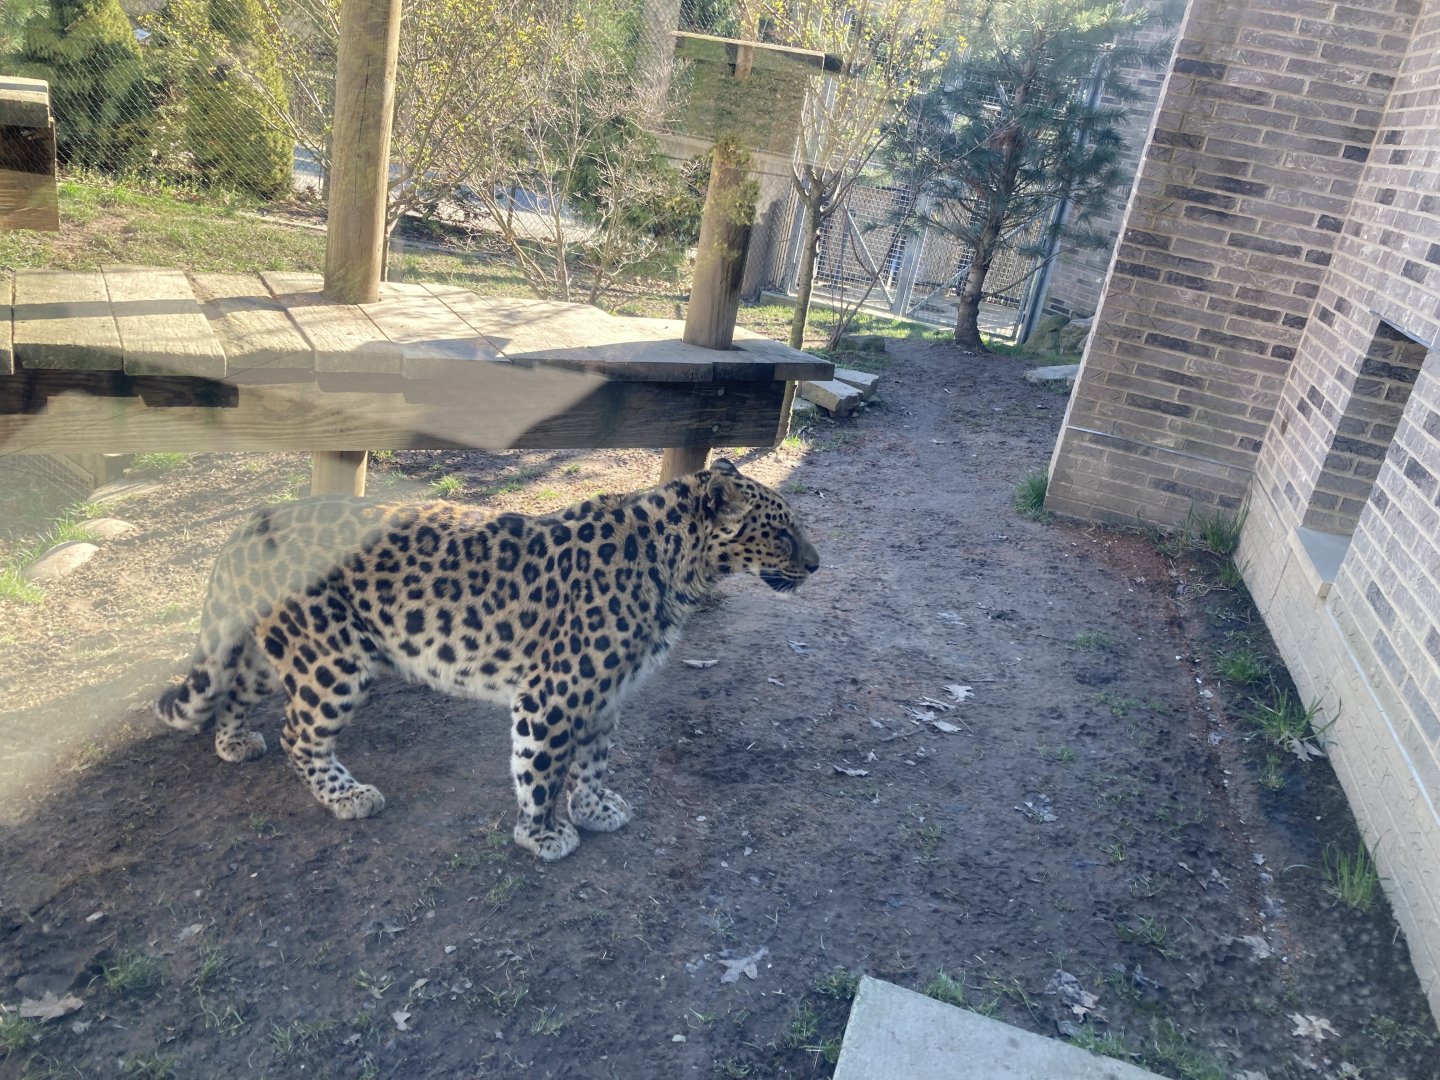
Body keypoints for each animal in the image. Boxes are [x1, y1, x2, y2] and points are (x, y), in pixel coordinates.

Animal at [155, 459, 818, 860]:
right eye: (782, 532)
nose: (817, 565)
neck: (673, 564)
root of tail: (255, 519)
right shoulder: (552, 695)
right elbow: (542, 765)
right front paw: (543, 833)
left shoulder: (605, 695)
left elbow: (593, 760)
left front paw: (595, 807)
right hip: (330, 659)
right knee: (300, 732)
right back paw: (346, 796)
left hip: (280, 646)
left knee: (234, 687)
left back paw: (234, 742)